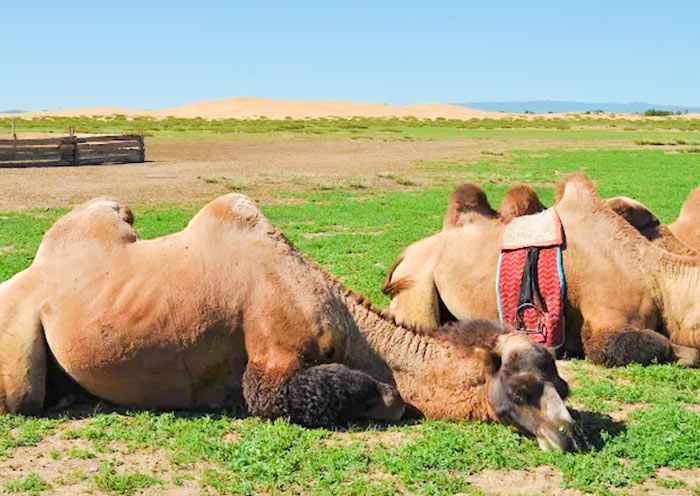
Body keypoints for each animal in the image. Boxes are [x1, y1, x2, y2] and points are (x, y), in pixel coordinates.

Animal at [0, 195, 579, 451]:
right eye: (522, 388)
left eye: (562, 385)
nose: (569, 434)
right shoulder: (270, 358)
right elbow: (380, 397)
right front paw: (386, 397)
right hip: (16, 348)